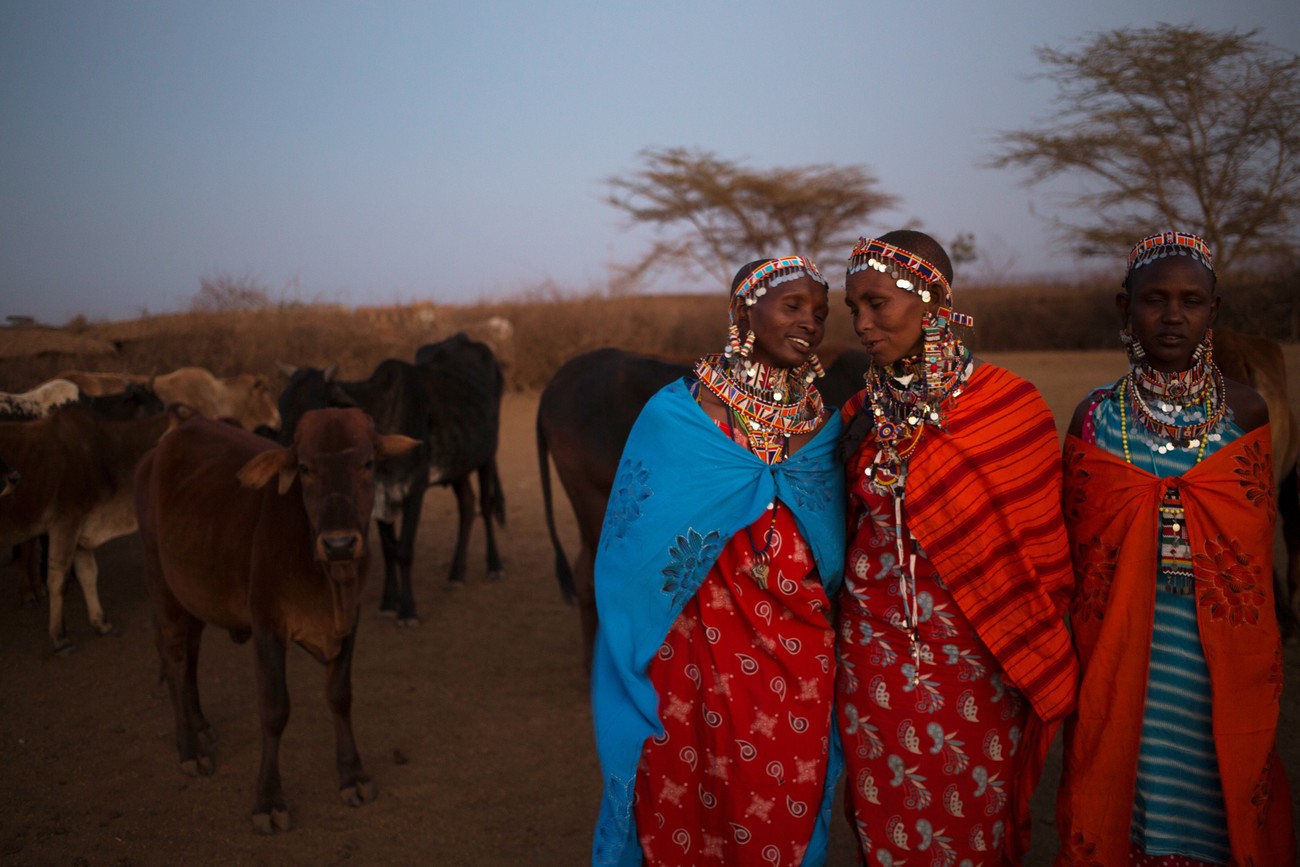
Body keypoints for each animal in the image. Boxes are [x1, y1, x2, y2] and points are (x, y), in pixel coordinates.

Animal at [0, 408, 185, 649]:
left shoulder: (81, 531)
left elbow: (88, 574)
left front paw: (101, 624)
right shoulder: (65, 523)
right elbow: (58, 579)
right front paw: (59, 637)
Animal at [133, 410, 416, 831]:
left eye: (367, 463)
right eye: (305, 467)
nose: (339, 544)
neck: (327, 577)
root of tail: (157, 452)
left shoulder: (350, 622)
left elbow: (340, 697)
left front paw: (352, 776)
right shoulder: (267, 627)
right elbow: (274, 710)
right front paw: (268, 800)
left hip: (195, 593)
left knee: (190, 654)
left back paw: (200, 724)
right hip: (160, 582)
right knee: (173, 656)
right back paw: (189, 747)